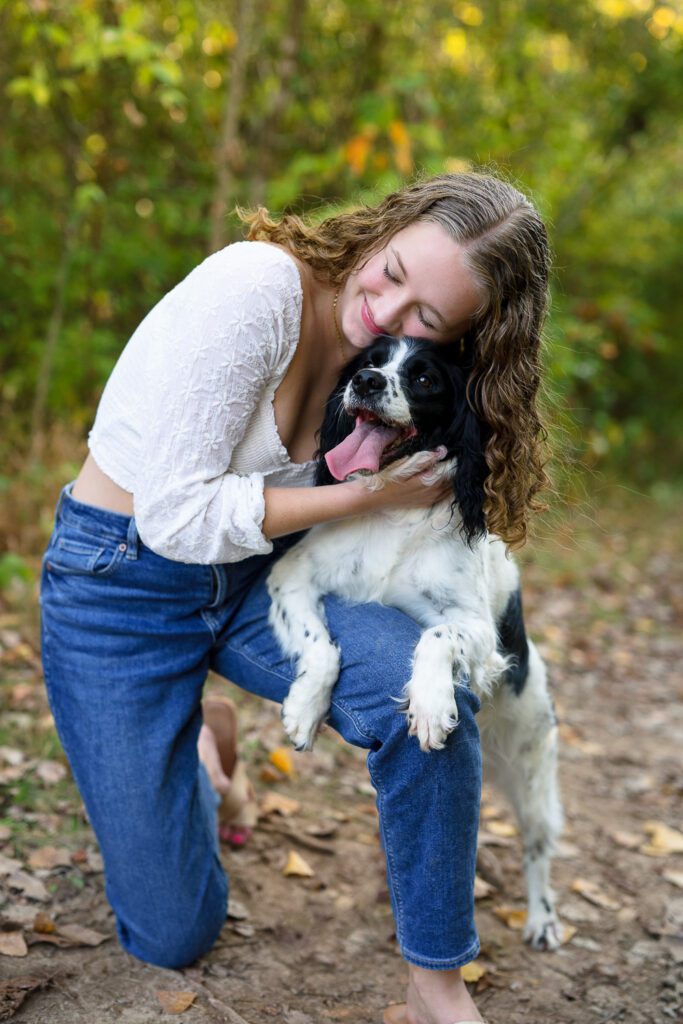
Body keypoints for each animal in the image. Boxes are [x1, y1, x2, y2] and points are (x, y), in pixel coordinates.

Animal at [270, 335, 565, 950]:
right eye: (368, 363)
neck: (392, 508)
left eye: (425, 378)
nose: (367, 384)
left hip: (532, 766)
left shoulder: (477, 627)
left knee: (537, 847)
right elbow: (320, 645)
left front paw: (430, 707)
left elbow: (435, 634)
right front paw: (305, 707)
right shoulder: (292, 576)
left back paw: (543, 917)